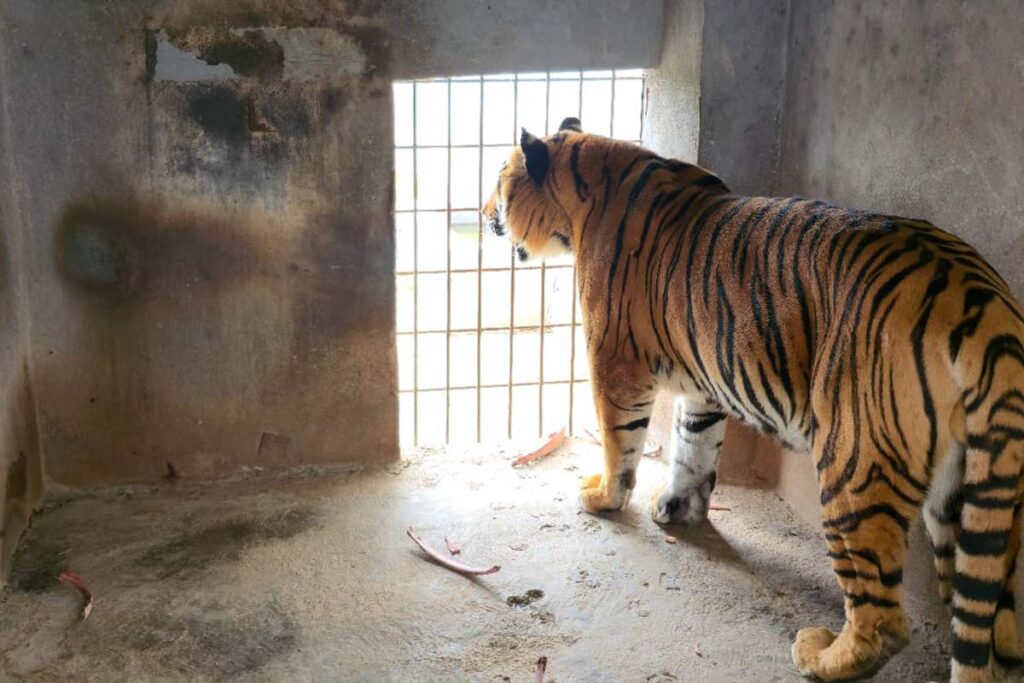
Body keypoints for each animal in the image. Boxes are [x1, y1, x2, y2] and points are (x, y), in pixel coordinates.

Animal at [482, 116, 1024, 683]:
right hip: (972, 491)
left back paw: (819, 655)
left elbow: (620, 442)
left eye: (499, 180)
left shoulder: (615, 363)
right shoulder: (703, 382)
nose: (481, 214)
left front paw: (604, 497)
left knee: (882, 619)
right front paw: (678, 507)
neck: (590, 183)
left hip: (855, 465)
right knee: (990, 616)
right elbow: (692, 448)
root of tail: (984, 306)